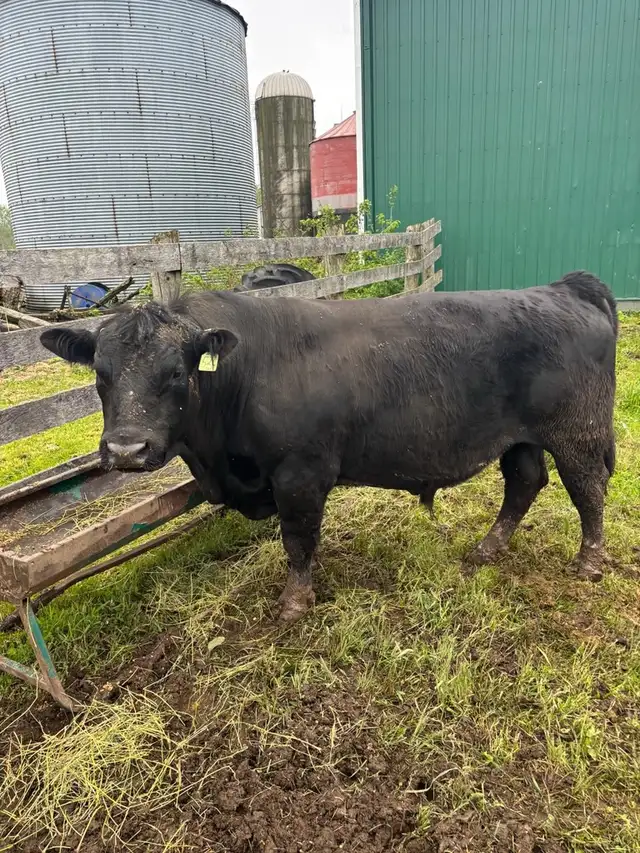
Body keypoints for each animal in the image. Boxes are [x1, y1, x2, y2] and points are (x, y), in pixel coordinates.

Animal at [40, 271, 618, 623]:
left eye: (177, 372)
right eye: (100, 374)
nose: (127, 450)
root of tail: (564, 288)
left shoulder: (301, 471)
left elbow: (298, 540)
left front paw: (294, 603)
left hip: (578, 432)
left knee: (587, 491)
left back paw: (589, 563)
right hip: (520, 438)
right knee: (524, 483)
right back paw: (485, 550)